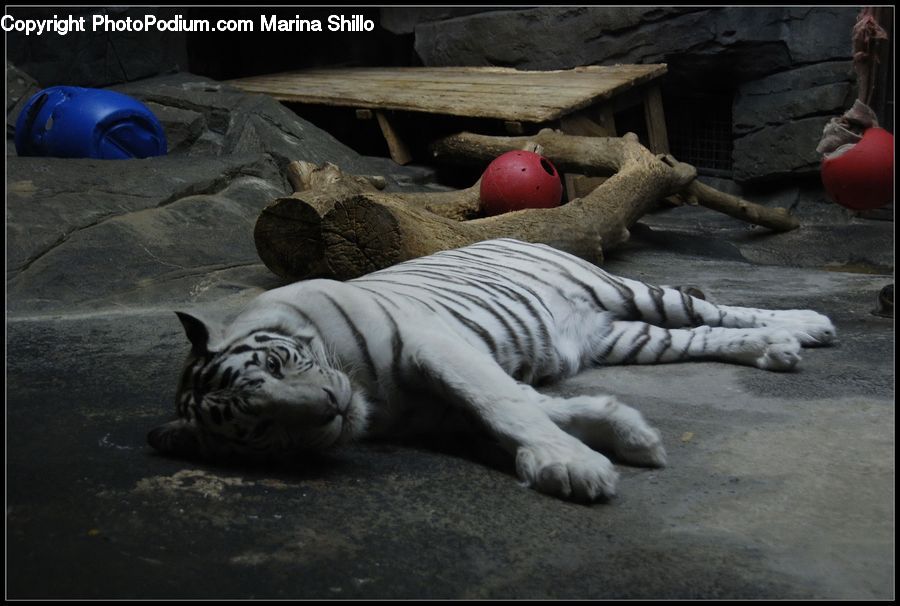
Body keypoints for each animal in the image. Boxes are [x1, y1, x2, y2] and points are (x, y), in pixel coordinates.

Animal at [148, 238, 836, 502]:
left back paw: (806, 323)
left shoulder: (434, 346)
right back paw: (774, 348)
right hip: (628, 338)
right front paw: (620, 434)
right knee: (705, 335)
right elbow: (523, 409)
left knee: (715, 307)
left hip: (635, 293)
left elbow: (506, 405)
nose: (330, 408)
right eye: (260, 427)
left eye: (277, 361)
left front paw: (575, 464)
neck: (370, 399)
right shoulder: (434, 410)